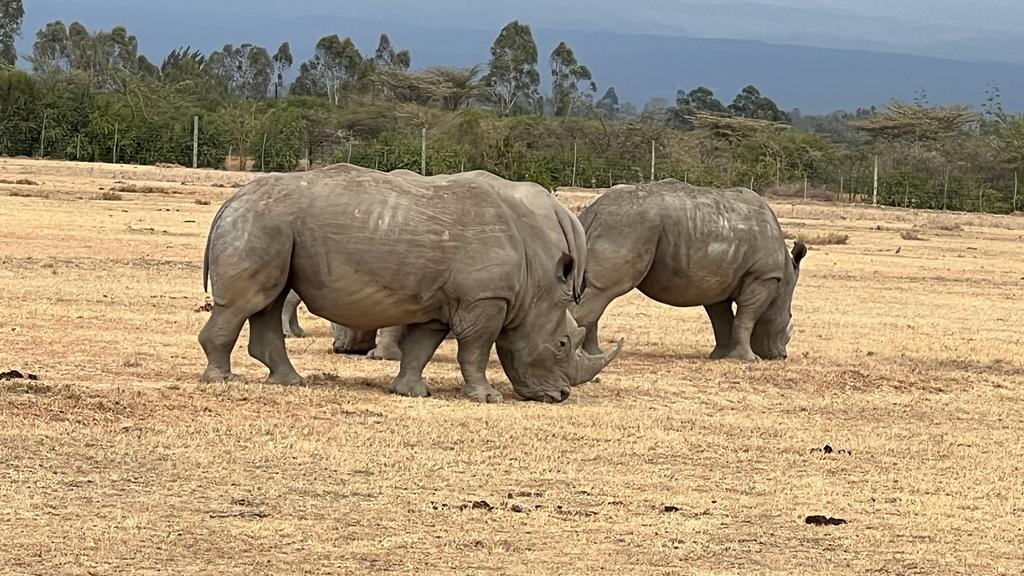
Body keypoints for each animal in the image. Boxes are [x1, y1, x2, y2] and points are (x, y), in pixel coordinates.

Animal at [199, 165, 622, 403]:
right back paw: (222, 379)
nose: (561, 396)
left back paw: (290, 382)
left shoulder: (439, 304)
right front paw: (487, 398)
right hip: (262, 222)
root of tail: (231, 201)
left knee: (268, 300)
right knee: (247, 303)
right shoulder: (485, 299)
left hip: (272, 225)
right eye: (563, 343)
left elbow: (422, 345)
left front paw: (410, 391)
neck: (534, 287)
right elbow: (476, 348)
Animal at [571, 180, 807, 362]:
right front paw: (749, 359)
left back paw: (592, 354)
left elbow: (722, 320)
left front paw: (719, 356)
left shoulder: (718, 280)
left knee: (594, 293)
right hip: (629, 226)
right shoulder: (763, 277)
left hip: (616, 225)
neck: (785, 277)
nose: (781, 356)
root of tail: (595, 209)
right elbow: (746, 317)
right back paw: (582, 356)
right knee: (606, 290)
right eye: (789, 317)